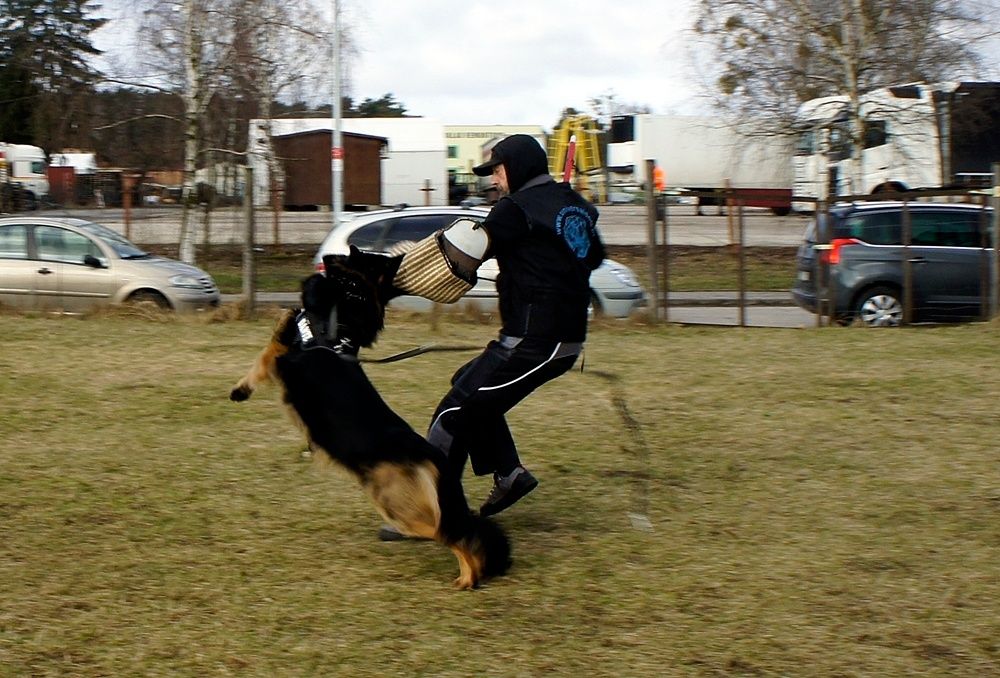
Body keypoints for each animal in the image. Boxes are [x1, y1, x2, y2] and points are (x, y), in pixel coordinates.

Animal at [230, 248, 512, 588]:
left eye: (365, 256)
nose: (328, 254)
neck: (337, 327)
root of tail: (433, 456)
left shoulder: (283, 349)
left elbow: (266, 350)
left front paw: (240, 390)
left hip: (395, 505)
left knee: (452, 533)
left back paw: (467, 578)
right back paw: (474, 575)